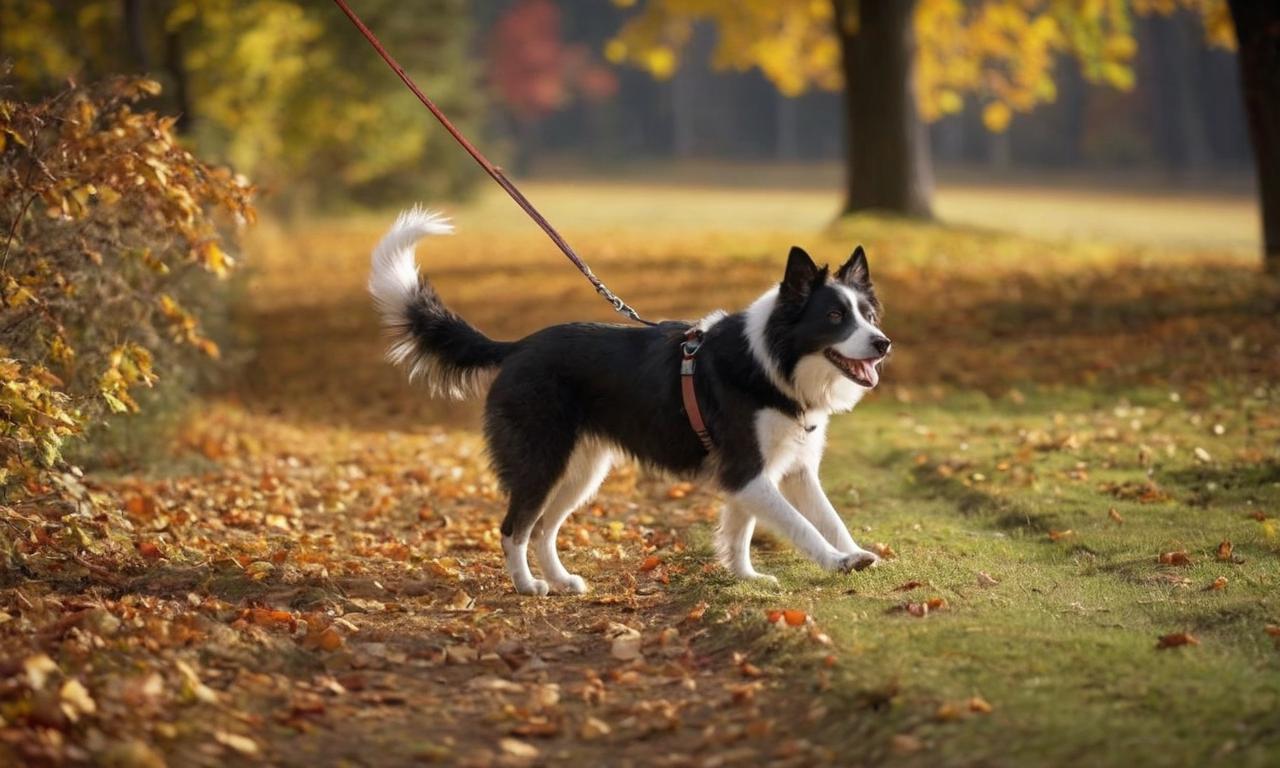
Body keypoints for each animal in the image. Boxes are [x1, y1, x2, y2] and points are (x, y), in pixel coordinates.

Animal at [371, 208, 890, 593]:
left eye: (867, 315)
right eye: (834, 317)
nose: (883, 343)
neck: (771, 362)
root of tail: (517, 347)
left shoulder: (787, 470)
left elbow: (801, 520)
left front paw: (750, 573)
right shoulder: (747, 469)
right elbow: (802, 525)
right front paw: (838, 562)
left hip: (582, 470)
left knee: (543, 528)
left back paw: (561, 580)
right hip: (541, 460)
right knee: (514, 527)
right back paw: (526, 585)